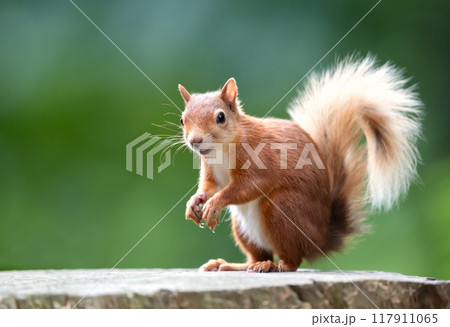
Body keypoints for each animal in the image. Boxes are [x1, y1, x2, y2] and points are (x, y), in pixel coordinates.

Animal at [177, 57, 422, 274]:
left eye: (221, 117)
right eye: (182, 119)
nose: (195, 141)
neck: (221, 151)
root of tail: (321, 239)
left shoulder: (261, 159)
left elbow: (248, 186)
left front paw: (215, 203)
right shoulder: (211, 170)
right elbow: (209, 186)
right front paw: (195, 202)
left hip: (283, 208)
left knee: (292, 260)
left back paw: (274, 266)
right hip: (242, 227)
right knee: (256, 256)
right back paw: (233, 265)